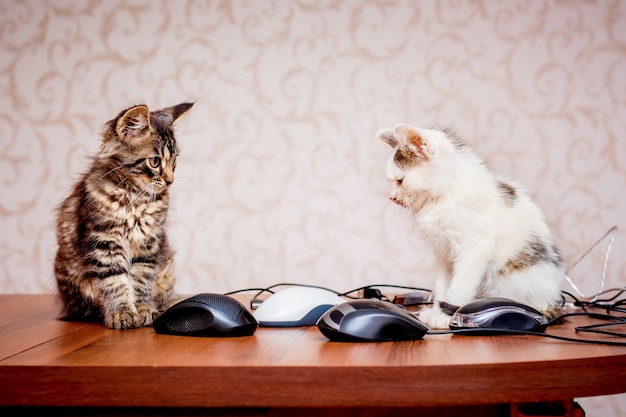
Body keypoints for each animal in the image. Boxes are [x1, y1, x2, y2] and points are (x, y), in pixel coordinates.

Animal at [55, 101, 193, 328]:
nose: (170, 180)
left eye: (174, 162)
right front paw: (122, 313)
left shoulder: (148, 244)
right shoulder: (104, 242)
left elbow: (141, 280)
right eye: (155, 162)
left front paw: (144, 309)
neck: (134, 199)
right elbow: (115, 282)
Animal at [378, 122, 564, 328]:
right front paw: (436, 311)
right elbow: (442, 285)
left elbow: (460, 285)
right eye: (391, 182)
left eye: (400, 181)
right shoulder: (443, 253)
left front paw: (447, 316)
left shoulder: (474, 249)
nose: (392, 198)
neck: (442, 197)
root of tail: (551, 300)